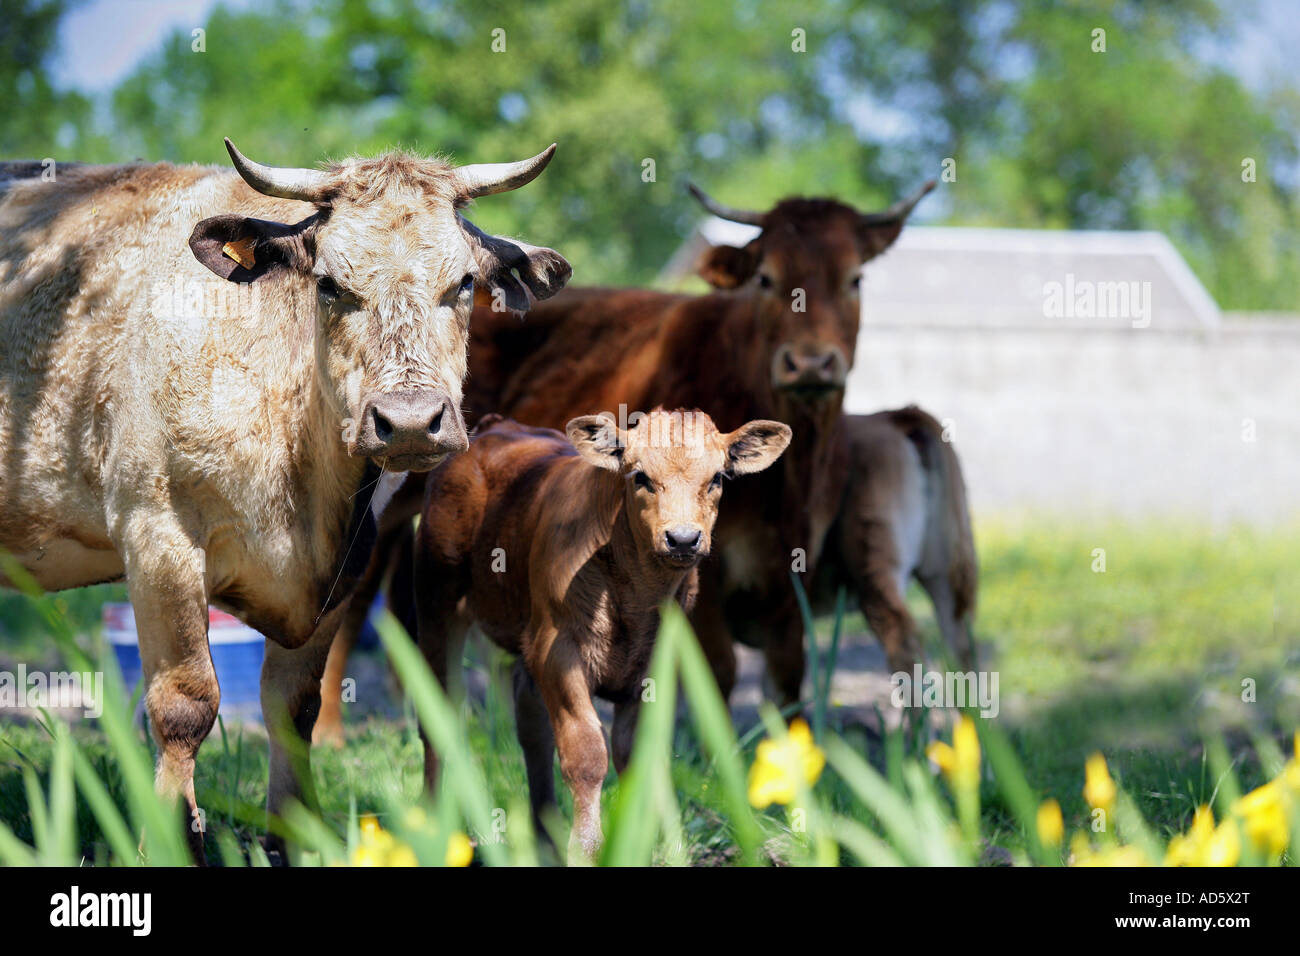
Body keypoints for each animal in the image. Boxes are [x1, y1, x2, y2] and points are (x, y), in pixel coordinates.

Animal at [0, 138, 571, 859]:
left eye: (465, 282)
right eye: (328, 283)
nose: (411, 421)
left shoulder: (347, 566)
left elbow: (294, 705)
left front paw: (292, 838)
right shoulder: (156, 535)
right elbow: (184, 704)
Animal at [313, 179, 938, 746]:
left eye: (855, 279)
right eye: (766, 278)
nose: (810, 364)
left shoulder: (789, 564)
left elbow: (786, 679)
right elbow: (718, 670)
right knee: (352, 599)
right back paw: (329, 732)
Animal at [412, 409, 790, 860]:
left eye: (716, 477)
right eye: (640, 476)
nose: (682, 538)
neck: (633, 598)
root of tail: (498, 427)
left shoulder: (655, 664)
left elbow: (637, 753)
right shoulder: (559, 652)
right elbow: (587, 753)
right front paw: (586, 848)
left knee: (531, 723)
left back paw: (544, 839)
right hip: (437, 602)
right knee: (438, 715)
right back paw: (433, 829)